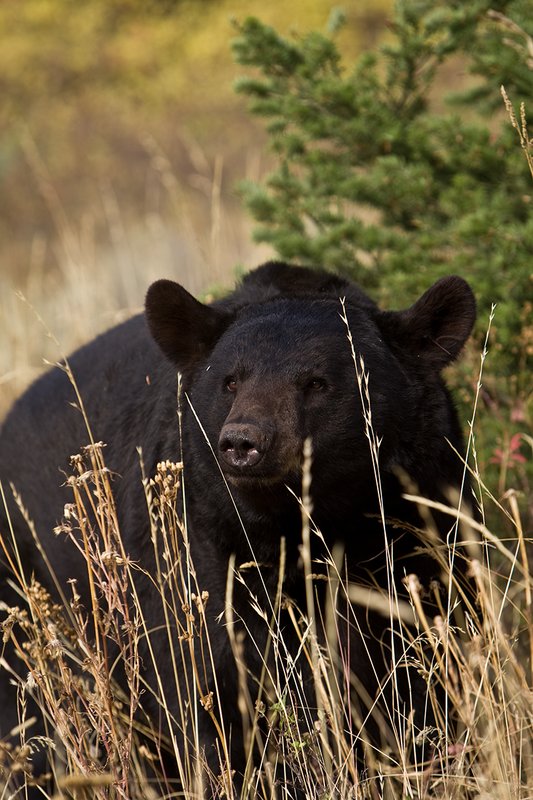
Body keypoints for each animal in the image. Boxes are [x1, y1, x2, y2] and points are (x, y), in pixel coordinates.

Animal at [0, 262, 476, 797]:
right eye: (230, 380)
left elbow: (430, 668)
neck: (305, 526)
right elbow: (207, 688)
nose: (243, 441)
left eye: (317, 382)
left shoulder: (421, 528)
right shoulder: (198, 547)